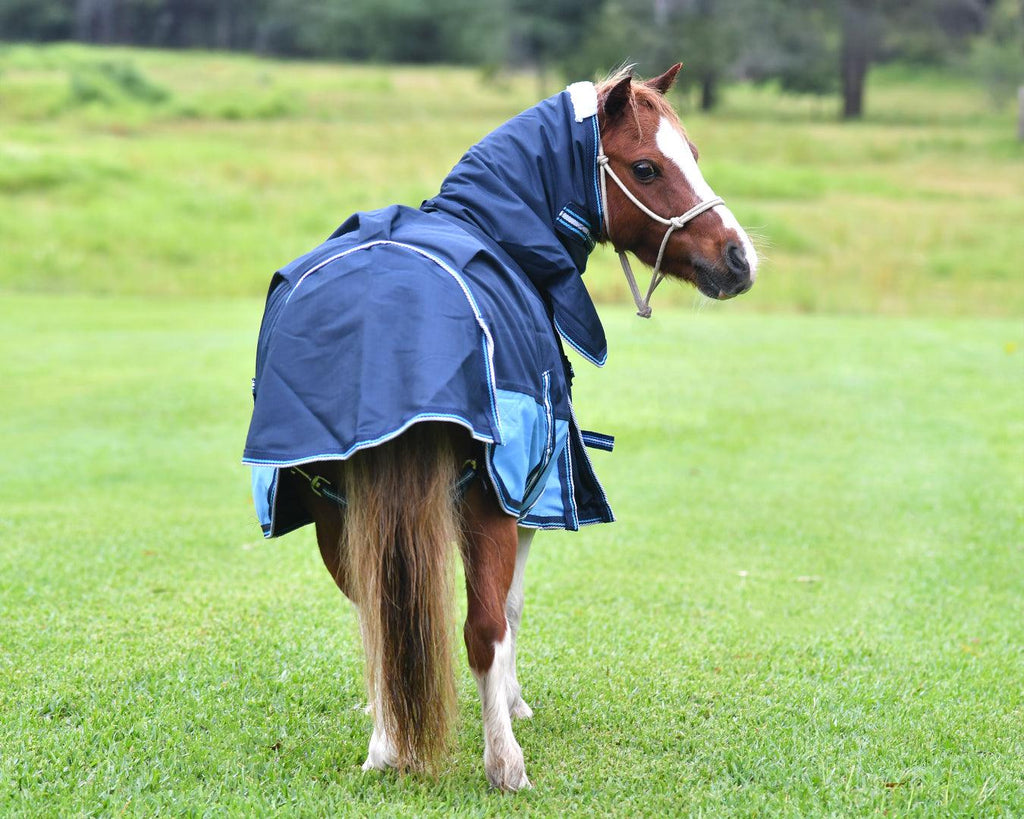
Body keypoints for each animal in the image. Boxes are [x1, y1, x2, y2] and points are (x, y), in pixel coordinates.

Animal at [243, 64, 757, 792]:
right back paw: (502, 760)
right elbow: (507, 613)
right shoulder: (526, 491)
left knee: (375, 615)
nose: (739, 258)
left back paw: (384, 745)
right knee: (481, 626)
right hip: (485, 502)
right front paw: (511, 707)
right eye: (647, 167)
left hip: (333, 507)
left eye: (693, 154)